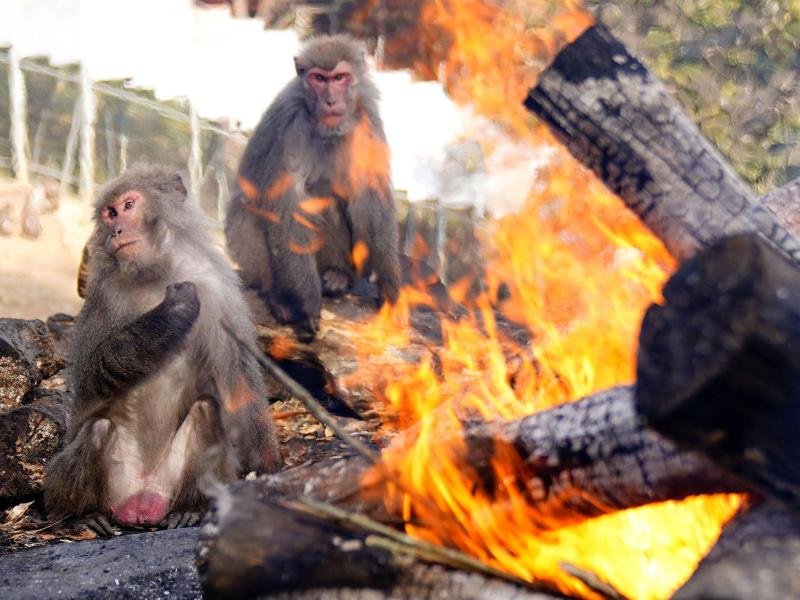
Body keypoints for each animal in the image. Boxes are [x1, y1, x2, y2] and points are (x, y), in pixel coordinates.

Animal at [45, 164, 282, 536]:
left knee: (206, 411)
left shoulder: (217, 286)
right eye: (110, 213)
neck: (158, 271)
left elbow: (237, 382)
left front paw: (268, 466)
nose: (116, 230)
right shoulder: (103, 291)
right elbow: (91, 374)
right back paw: (78, 516)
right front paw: (171, 313)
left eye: (128, 205)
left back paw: (191, 508)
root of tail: (142, 502)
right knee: (97, 429)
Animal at [225, 34, 400, 342]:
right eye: (319, 78)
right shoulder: (291, 122)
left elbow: (369, 192)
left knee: (330, 201)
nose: (330, 100)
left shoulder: (367, 118)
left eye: (340, 77)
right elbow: (287, 200)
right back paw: (277, 296)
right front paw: (307, 303)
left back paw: (338, 275)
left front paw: (388, 285)